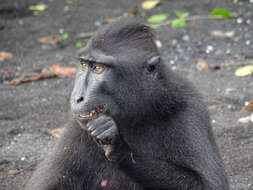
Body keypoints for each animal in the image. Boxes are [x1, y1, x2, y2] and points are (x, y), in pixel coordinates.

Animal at [25, 19, 229, 190]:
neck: (141, 112)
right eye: (83, 65)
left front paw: (118, 147)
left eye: (98, 68)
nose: (78, 98)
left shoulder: (188, 110)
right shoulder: (78, 127)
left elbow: (208, 184)